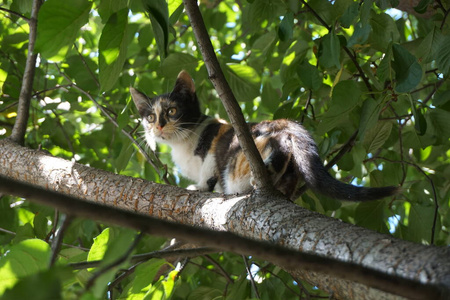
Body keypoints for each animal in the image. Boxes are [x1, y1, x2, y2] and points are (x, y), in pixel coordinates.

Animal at [132, 70, 400, 202]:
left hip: (247, 147)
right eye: (150, 117)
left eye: (172, 111)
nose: (158, 127)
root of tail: (285, 122)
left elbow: (209, 171)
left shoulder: (213, 145)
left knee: (274, 147)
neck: (183, 142)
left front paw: (199, 187)